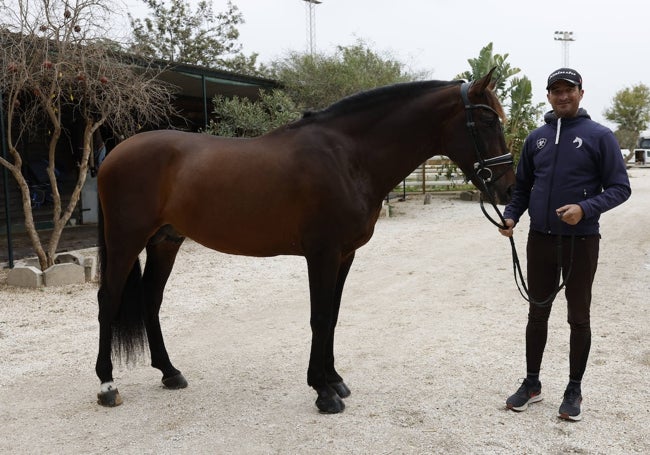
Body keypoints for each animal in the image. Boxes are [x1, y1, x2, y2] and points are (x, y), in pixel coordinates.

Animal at [95, 67, 512, 414]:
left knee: (151, 300)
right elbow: (320, 316)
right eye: (487, 119)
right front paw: (323, 392)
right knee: (108, 300)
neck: (348, 157)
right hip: (125, 240)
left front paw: (335, 380)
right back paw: (107, 385)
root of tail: (114, 153)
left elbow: (334, 316)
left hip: (166, 241)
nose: (508, 188)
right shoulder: (322, 253)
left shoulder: (344, 255)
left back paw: (169, 372)